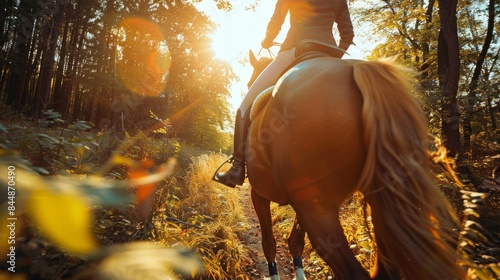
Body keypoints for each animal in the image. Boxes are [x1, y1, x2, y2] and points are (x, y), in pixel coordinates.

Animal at [242, 49, 464, 278]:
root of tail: (359, 68)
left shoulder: (261, 195)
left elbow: (269, 243)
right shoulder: (297, 200)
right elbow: (294, 242)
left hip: (318, 210)